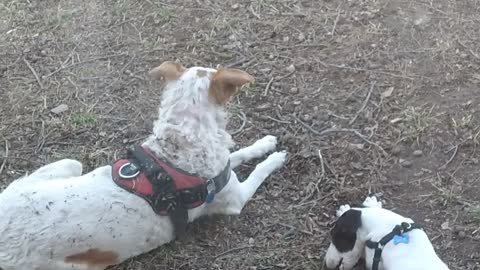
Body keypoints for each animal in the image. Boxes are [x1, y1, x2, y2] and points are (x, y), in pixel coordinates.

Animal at [0, 61, 284, 270]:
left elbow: (240, 153)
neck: (179, 143)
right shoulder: (234, 199)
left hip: (69, 164)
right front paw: (275, 159)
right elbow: (258, 171)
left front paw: (264, 144)